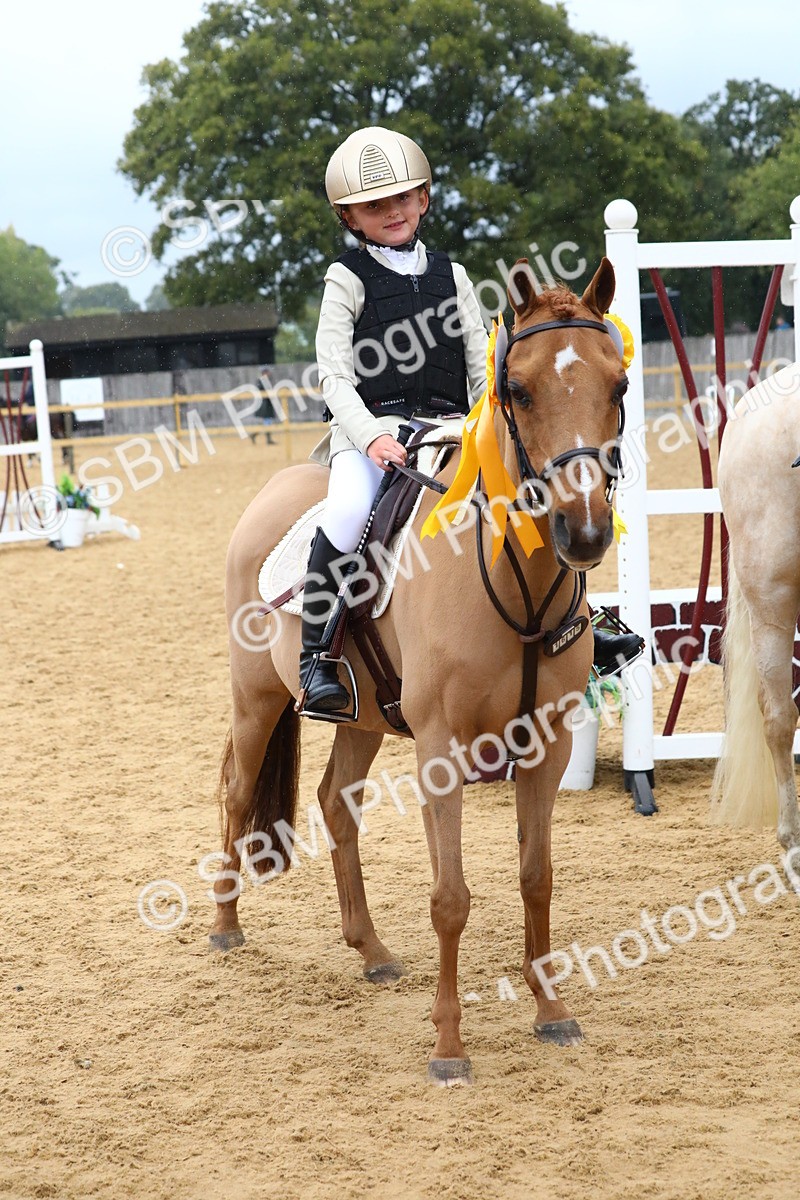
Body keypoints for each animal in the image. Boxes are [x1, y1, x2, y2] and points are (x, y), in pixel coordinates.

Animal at [211, 258, 628, 1084]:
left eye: (620, 385)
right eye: (519, 389)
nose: (585, 531)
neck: (512, 579)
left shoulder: (548, 744)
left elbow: (537, 878)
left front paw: (552, 1012)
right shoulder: (440, 748)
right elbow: (450, 897)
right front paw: (448, 1048)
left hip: (365, 717)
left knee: (335, 803)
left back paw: (370, 950)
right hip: (256, 697)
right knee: (237, 792)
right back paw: (223, 924)